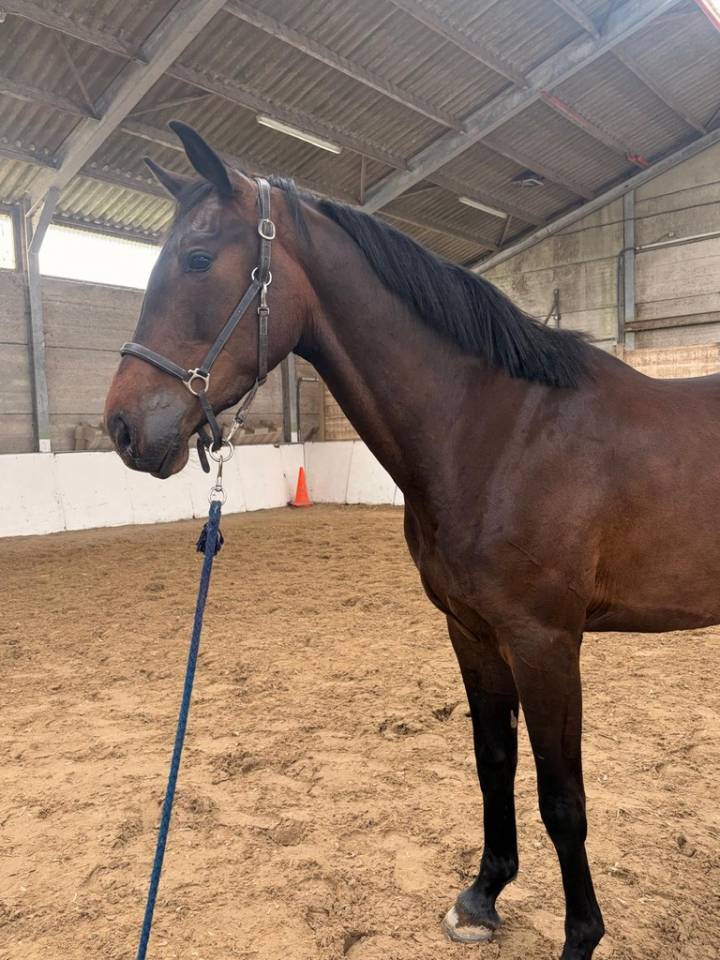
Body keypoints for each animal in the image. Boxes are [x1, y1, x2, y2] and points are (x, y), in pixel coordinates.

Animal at [105, 122, 720, 960]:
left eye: (198, 258)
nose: (123, 427)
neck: (498, 430)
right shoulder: (473, 631)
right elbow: (494, 763)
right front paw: (483, 897)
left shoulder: (546, 641)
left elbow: (563, 799)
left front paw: (580, 937)